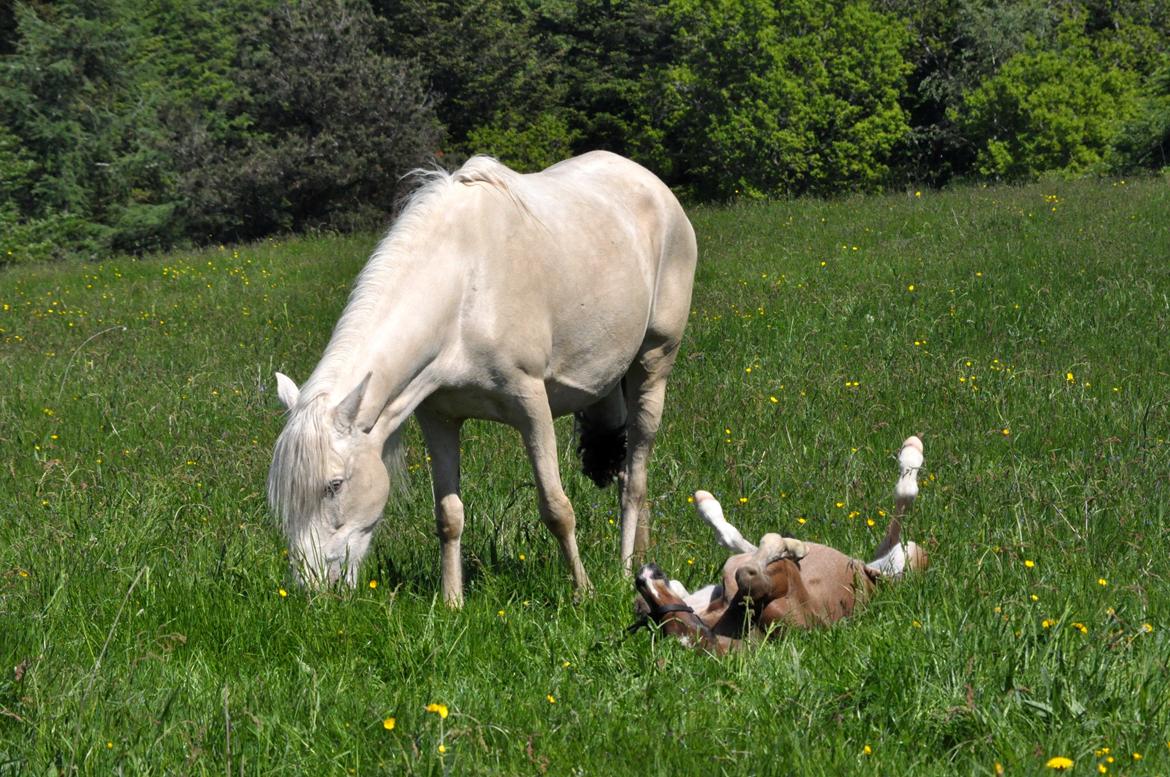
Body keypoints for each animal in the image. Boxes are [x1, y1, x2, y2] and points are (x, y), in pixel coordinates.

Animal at [269, 148, 697, 603]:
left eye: (334, 485)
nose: (312, 588)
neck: (462, 290)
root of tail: (653, 185)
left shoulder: (532, 406)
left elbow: (556, 508)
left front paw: (583, 592)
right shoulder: (437, 418)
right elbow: (448, 515)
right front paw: (452, 602)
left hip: (653, 364)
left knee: (636, 477)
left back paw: (624, 568)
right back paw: (641, 560)